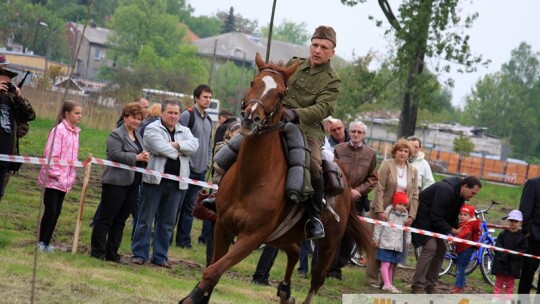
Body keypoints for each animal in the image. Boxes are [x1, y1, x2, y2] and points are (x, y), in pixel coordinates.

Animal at [179, 53, 374, 302]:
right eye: (253, 82)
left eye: (280, 93)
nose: (250, 118)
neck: (251, 180)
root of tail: (347, 184)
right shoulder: (222, 226)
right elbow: (213, 269)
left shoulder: (251, 238)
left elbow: (213, 270)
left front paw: (190, 298)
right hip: (283, 236)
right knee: (294, 252)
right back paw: (285, 290)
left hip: (328, 245)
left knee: (316, 280)